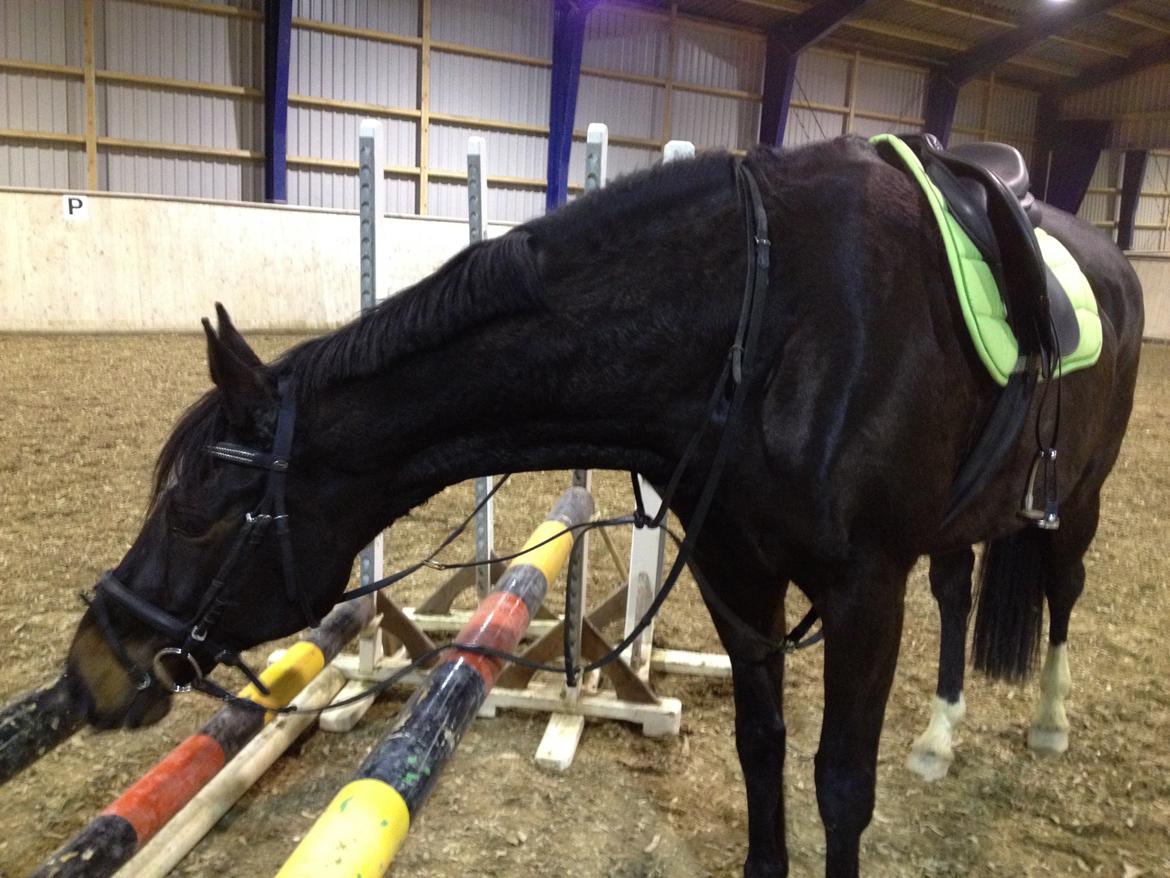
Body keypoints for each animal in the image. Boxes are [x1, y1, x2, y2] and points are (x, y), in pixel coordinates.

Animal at [61, 137, 1141, 878]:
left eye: (200, 511)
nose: (93, 665)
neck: (771, 317)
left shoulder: (865, 591)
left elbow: (839, 782)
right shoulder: (739, 577)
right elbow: (762, 748)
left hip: (1075, 501)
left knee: (1065, 589)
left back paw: (1048, 723)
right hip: (962, 525)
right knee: (961, 596)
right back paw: (940, 735)